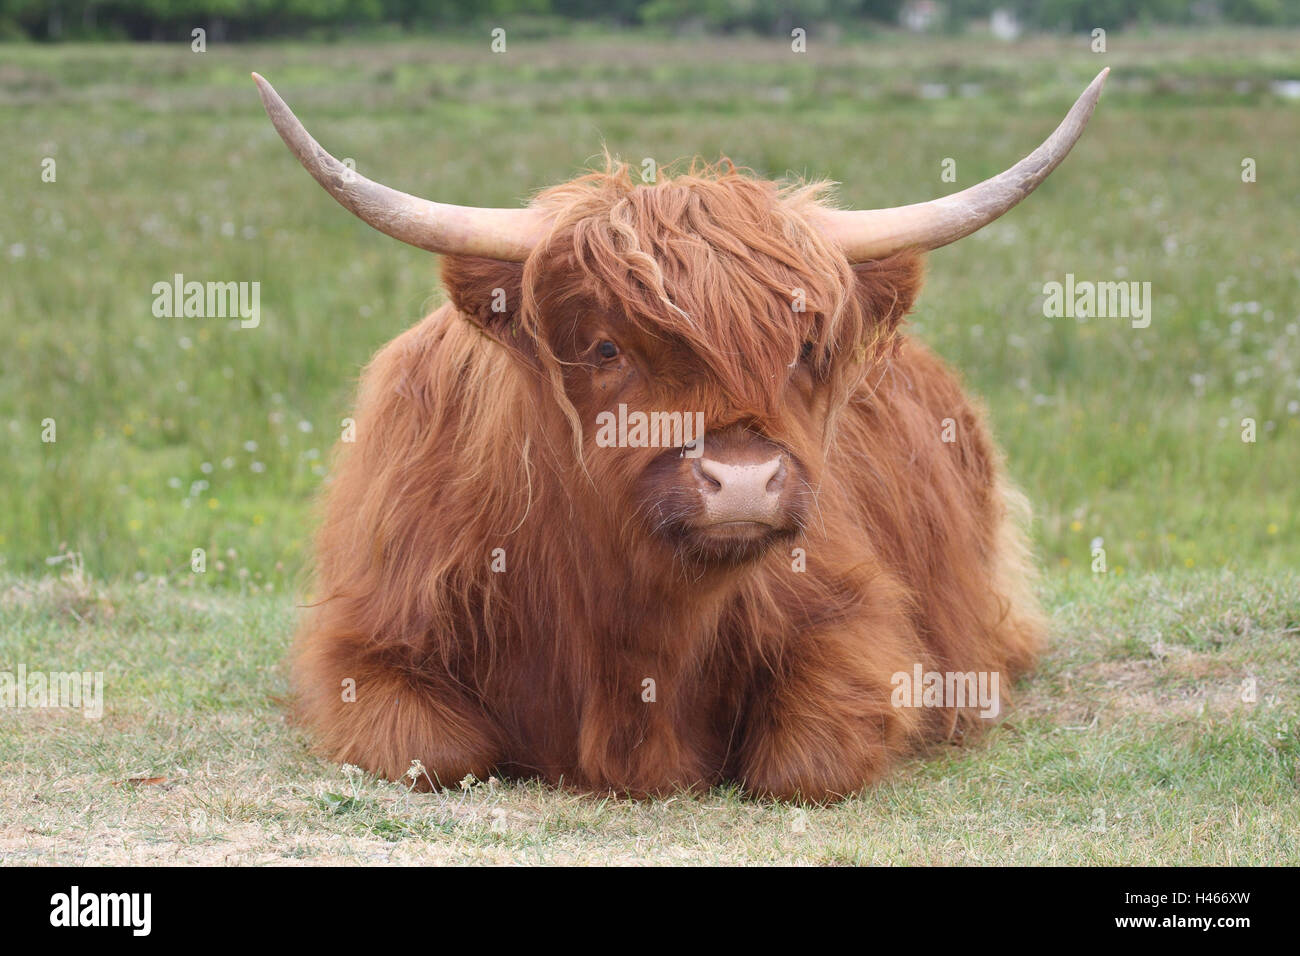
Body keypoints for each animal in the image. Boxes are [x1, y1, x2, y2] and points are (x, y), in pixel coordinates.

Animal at [253, 69, 1107, 801]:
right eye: (606, 348)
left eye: (804, 348)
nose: (742, 479)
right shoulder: (369, 641)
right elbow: (440, 752)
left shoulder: (853, 621)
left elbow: (807, 763)